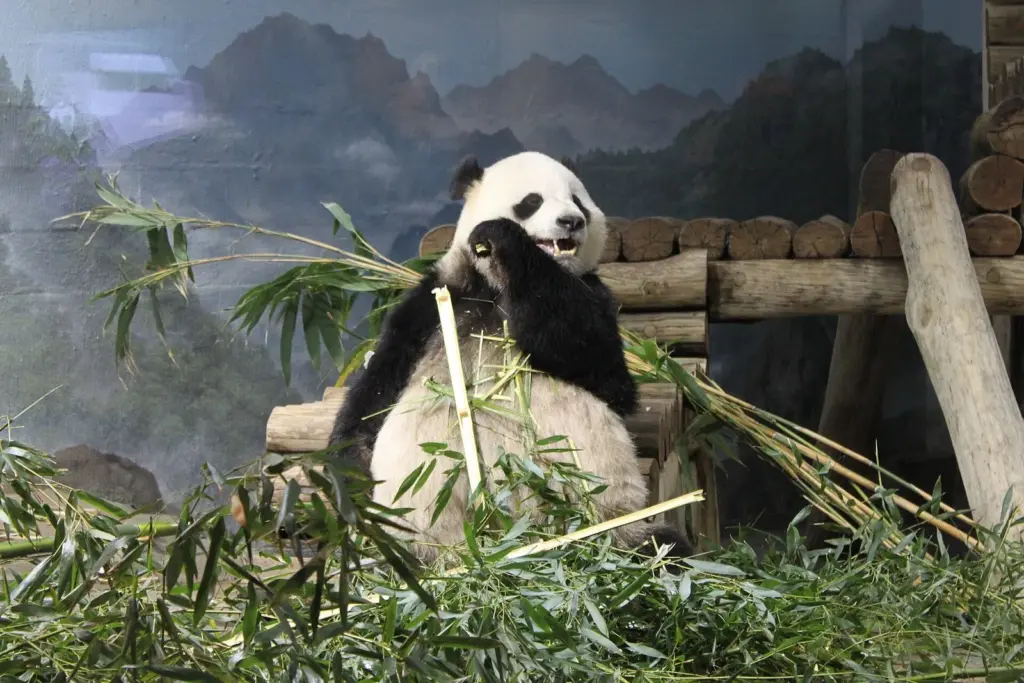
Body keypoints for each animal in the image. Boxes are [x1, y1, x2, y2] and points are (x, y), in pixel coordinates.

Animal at [328, 151, 694, 564]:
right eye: (532, 201)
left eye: (578, 200)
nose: (572, 221)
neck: (492, 286)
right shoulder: (433, 304)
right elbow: (375, 392)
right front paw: (350, 479)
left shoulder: (593, 295)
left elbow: (604, 372)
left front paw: (504, 238)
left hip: (606, 514)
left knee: (654, 544)